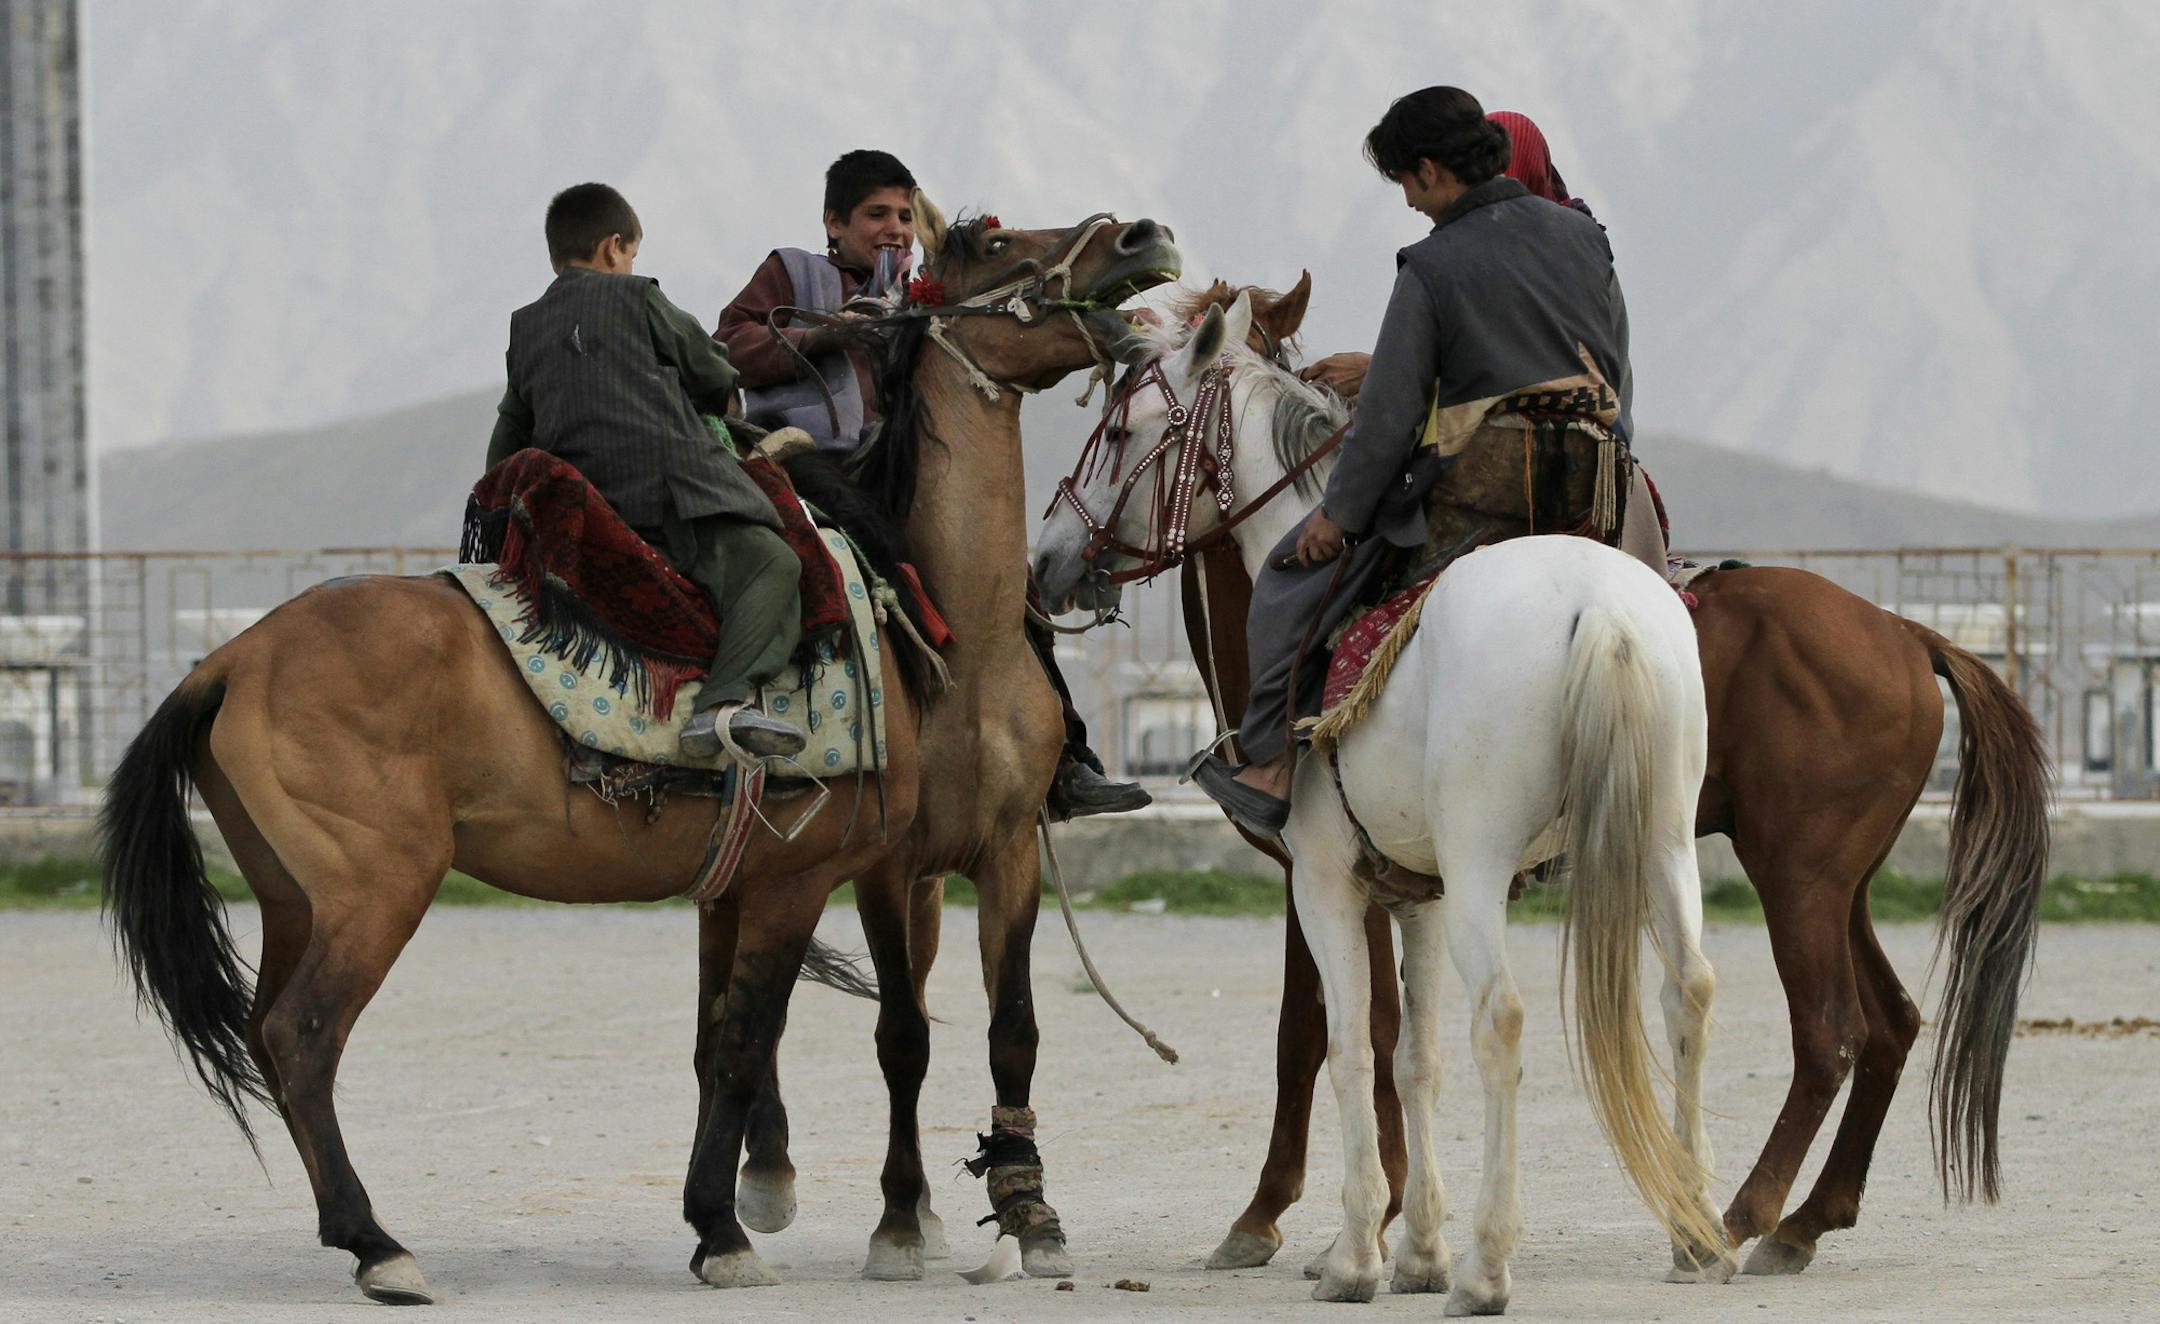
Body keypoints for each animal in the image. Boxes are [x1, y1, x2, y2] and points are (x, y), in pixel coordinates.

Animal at [98, 206, 1177, 1304]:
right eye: (993, 243)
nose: (1140, 236)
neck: (939, 631)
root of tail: (228, 660)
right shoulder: (819, 873)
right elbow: (759, 1043)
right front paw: (728, 1229)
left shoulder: (948, 856)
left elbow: (955, 1031)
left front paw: (1009, 1214)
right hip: (375, 891)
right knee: (302, 1037)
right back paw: (378, 1244)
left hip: (292, 897)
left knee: (266, 1035)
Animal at [1034, 291, 1733, 1309]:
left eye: (1121, 431)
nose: (1046, 560)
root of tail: (1600, 611)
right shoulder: (1418, 897)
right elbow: (1413, 1059)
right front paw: (1418, 1251)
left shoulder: (1328, 883)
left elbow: (1347, 1051)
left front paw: (1359, 1253)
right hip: (1661, 846)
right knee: (1688, 992)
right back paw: (1694, 1233)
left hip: (1486, 865)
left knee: (1504, 1018)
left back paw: (1489, 1267)